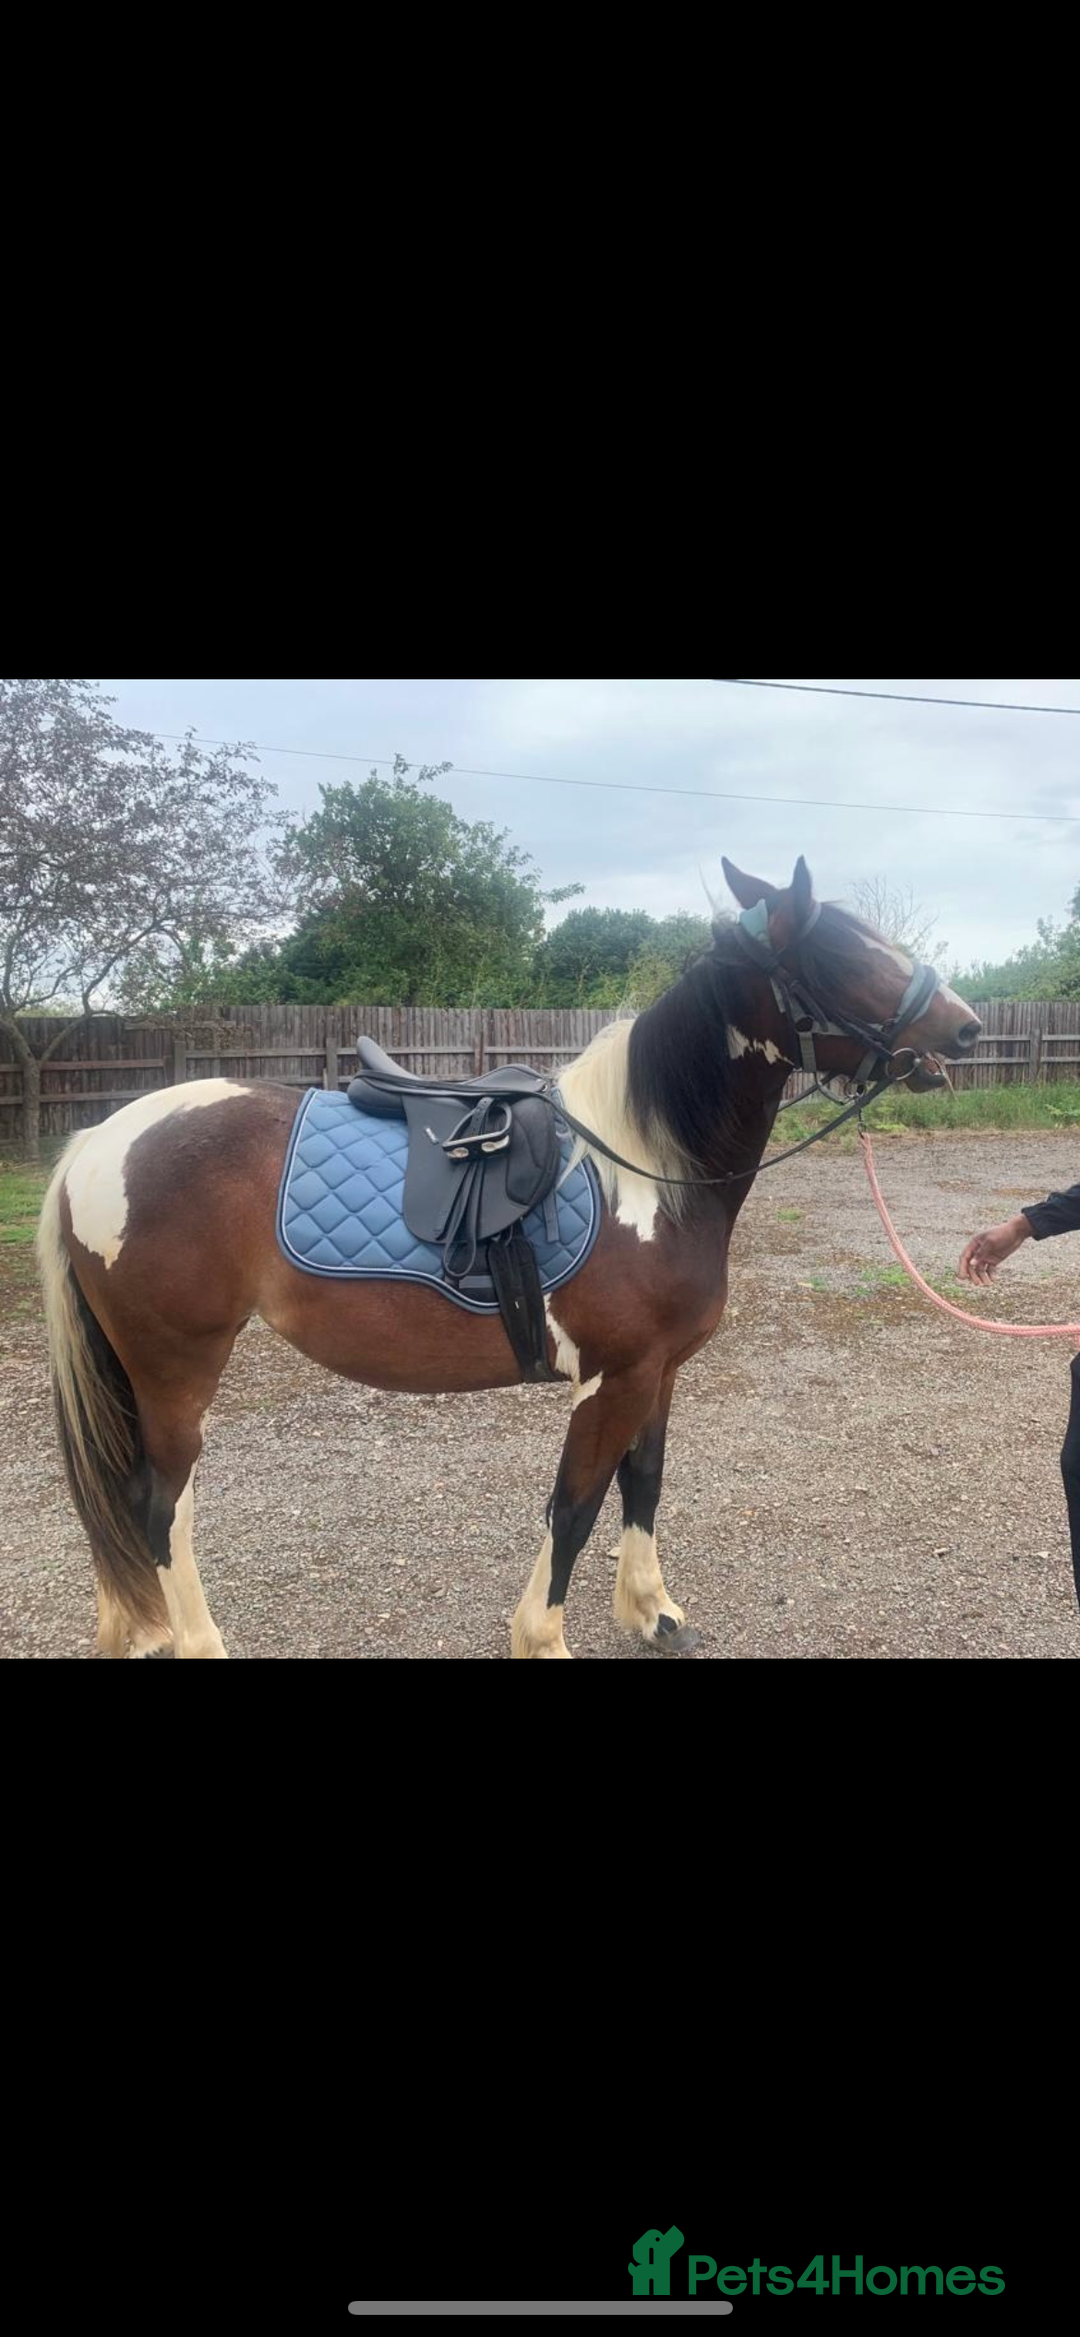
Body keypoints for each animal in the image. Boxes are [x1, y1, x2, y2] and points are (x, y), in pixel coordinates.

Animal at [36, 855, 981, 1660]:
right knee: (160, 1508)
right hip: (176, 1368)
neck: (648, 1167)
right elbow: (574, 1507)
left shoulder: (661, 1371)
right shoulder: (614, 1377)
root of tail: (94, 1143)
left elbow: (644, 1481)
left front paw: (653, 1612)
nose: (966, 1027)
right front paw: (546, 1637)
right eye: (842, 954)